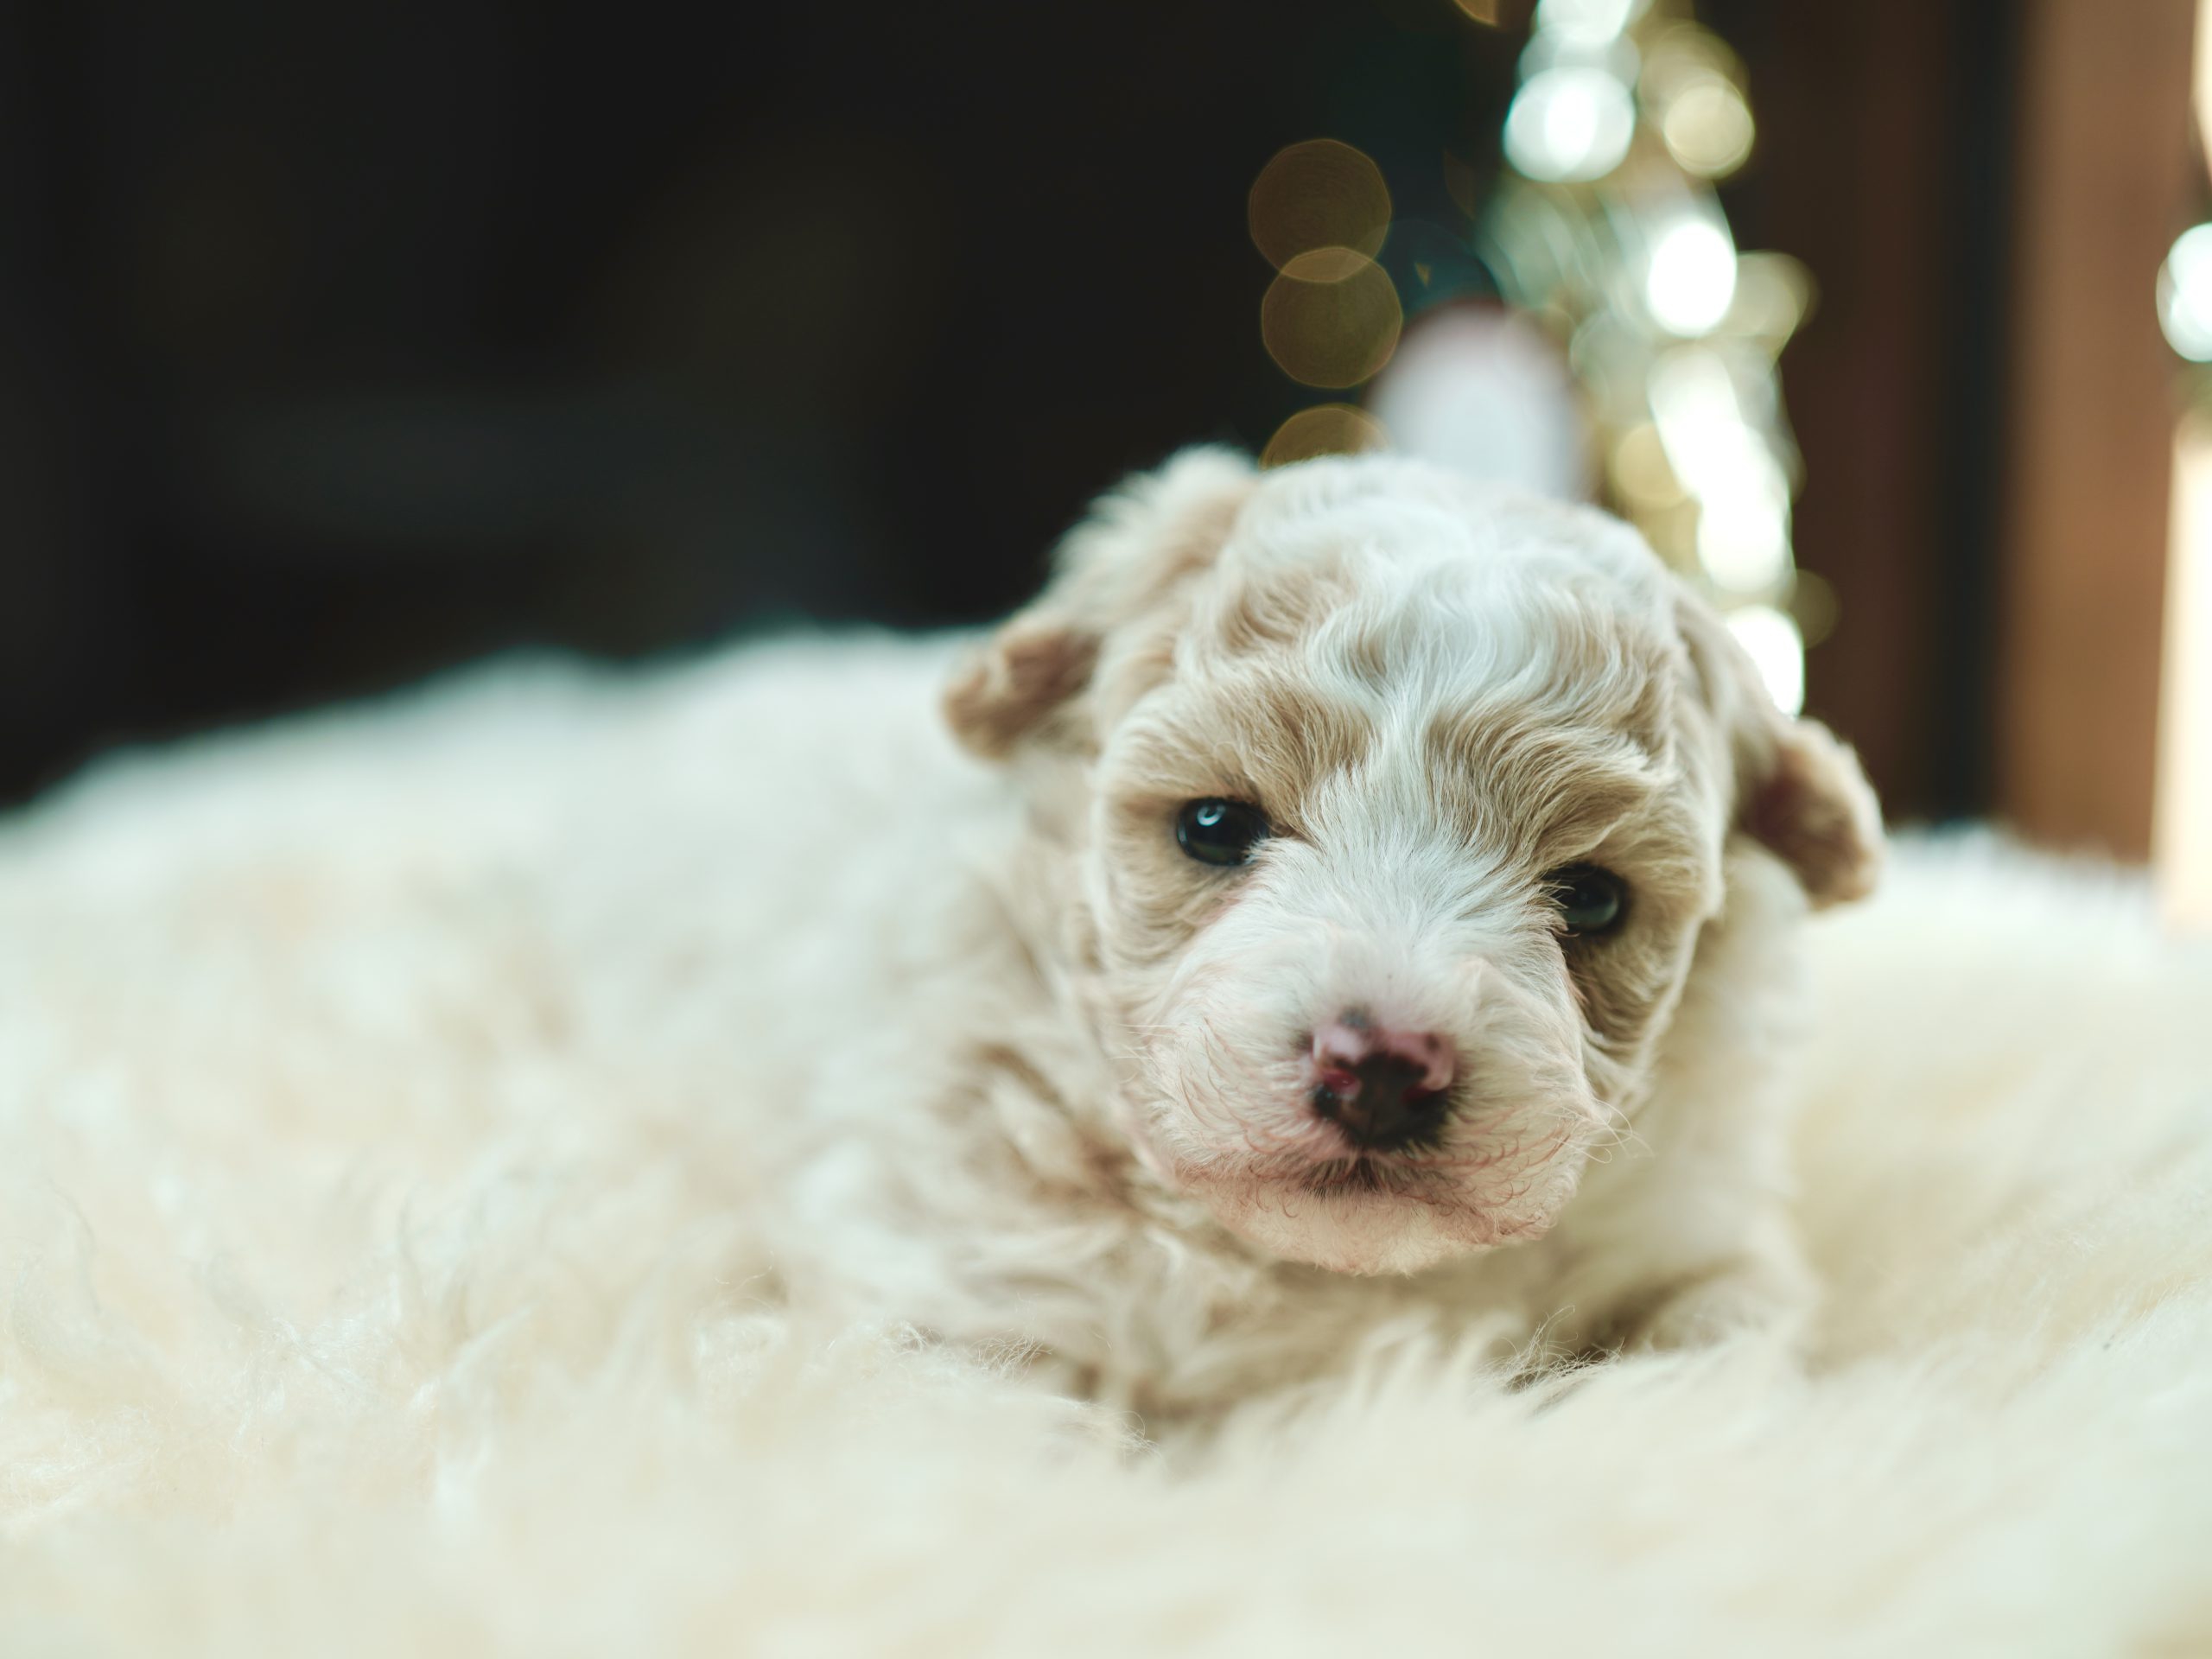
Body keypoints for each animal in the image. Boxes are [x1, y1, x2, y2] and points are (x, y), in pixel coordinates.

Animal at [712, 451, 1885, 1415]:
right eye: (1213, 827)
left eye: (1593, 898)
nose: (1383, 1068)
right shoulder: (945, 1270)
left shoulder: (1698, 1239)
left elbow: (1717, 1351)